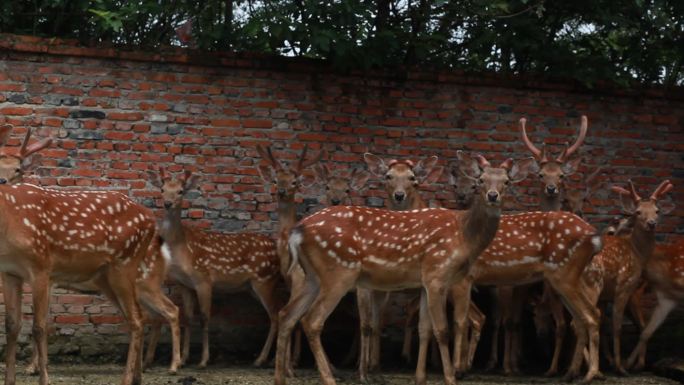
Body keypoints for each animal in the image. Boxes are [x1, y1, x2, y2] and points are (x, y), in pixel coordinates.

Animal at [148, 166, 282, 368]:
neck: (182, 248)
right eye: (162, 189)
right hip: (253, 286)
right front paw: (184, 359)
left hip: (265, 279)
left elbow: (204, 318)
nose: (168, 203)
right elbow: (188, 318)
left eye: (181, 191)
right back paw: (276, 359)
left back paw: (260, 359)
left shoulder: (204, 279)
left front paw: (203, 360)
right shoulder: (184, 284)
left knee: (275, 315)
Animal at [272, 150, 536, 384]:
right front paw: (451, 377)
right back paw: (329, 378)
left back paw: (280, 378)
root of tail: (297, 231)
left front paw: (420, 378)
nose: (493, 195)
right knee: (312, 320)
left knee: (286, 315)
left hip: (312, 277)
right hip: (338, 271)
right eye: (480, 180)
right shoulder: (437, 272)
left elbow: (424, 329)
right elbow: (442, 330)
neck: (463, 236)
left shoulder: (425, 282)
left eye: (506, 181)